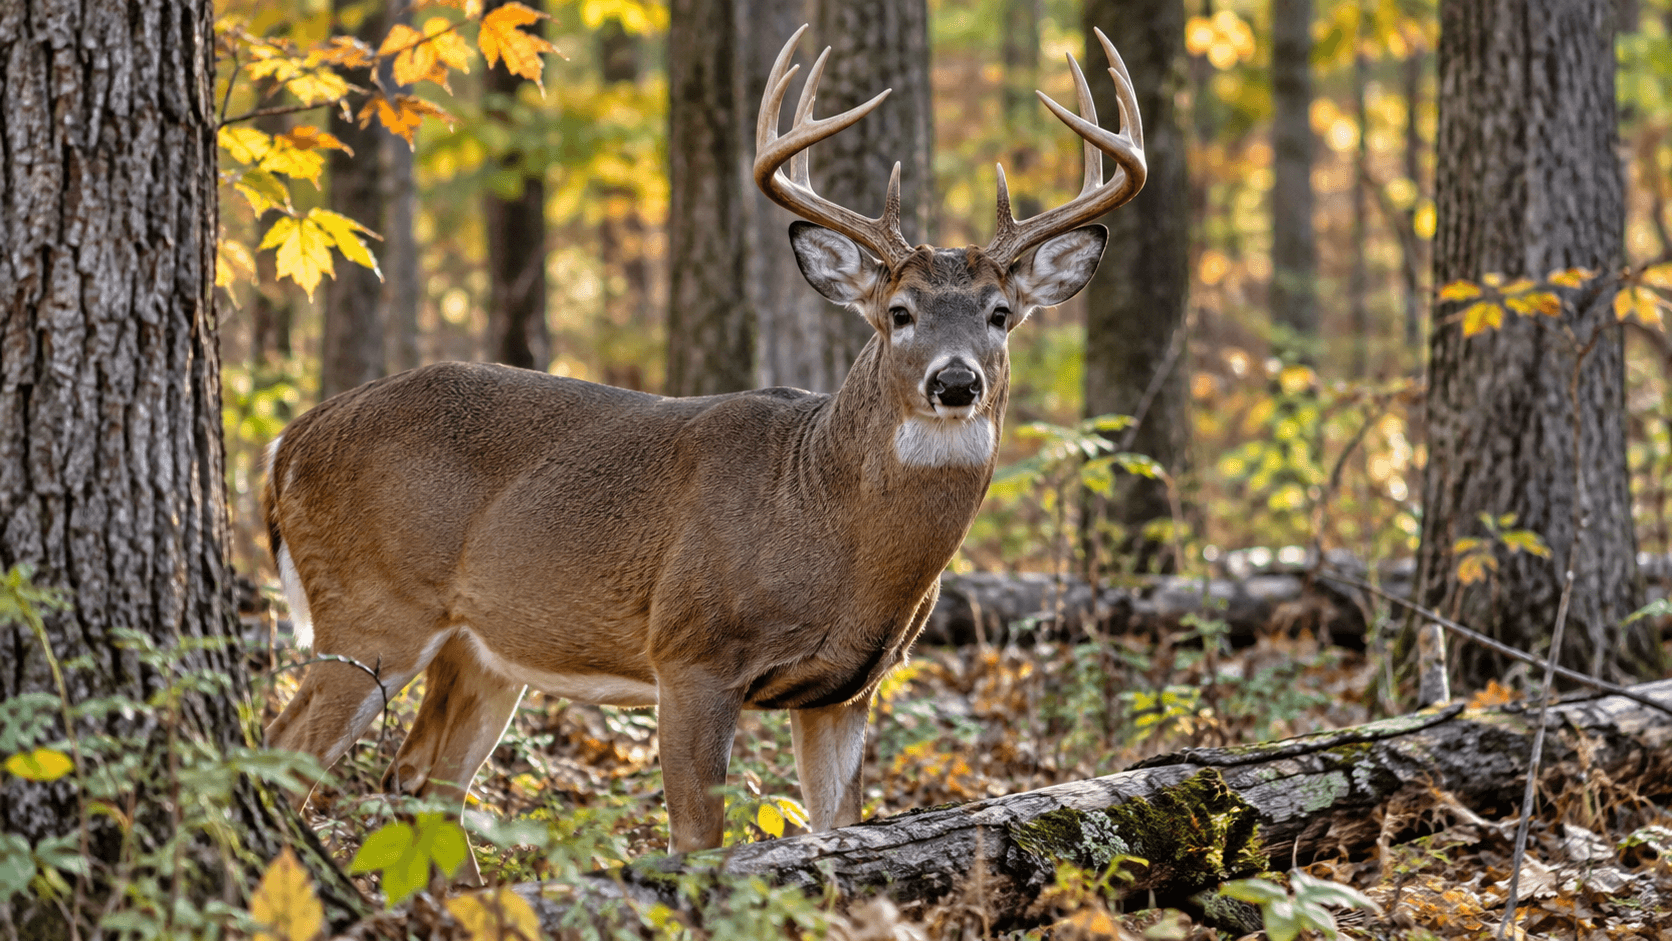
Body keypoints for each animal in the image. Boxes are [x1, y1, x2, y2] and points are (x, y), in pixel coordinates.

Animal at [262, 25, 1144, 879]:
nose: (956, 380)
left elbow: (839, 833)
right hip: (371, 605)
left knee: (423, 780)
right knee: (282, 753)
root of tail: (291, 439)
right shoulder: (690, 652)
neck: (826, 518)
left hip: (482, 649)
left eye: (1000, 313)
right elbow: (698, 842)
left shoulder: (845, 689)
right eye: (899, 311)